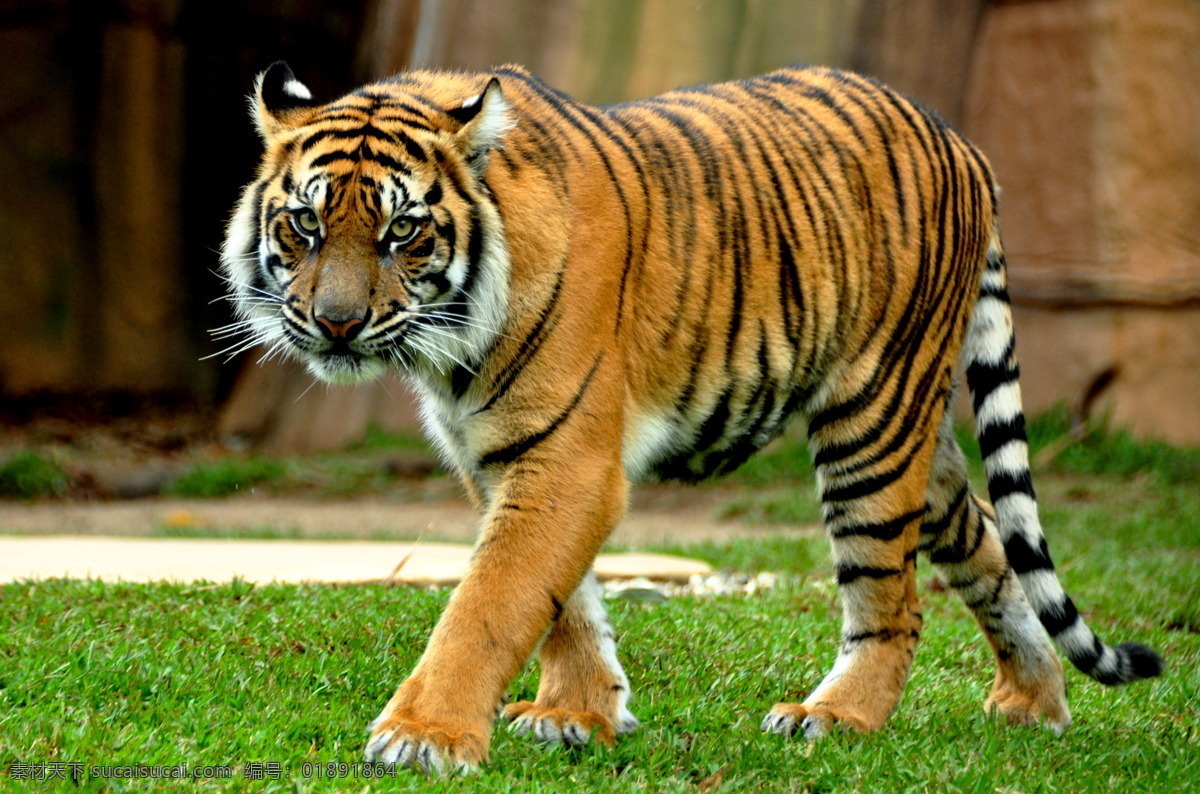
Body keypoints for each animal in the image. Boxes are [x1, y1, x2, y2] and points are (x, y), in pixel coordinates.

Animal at [220, 60, 1163, 774]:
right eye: (304, 224)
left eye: (402, 232)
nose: (337, 324)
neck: (450, 345)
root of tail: (962, 142)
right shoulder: (499, 456)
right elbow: (561, 603)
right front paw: (579, 714)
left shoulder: (566, 459)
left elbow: (492, 601)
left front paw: (423, 737)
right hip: (916, 440)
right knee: (989, 541)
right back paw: (1033, 701)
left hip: (873, 420)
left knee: (893, 602)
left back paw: (834, 716)